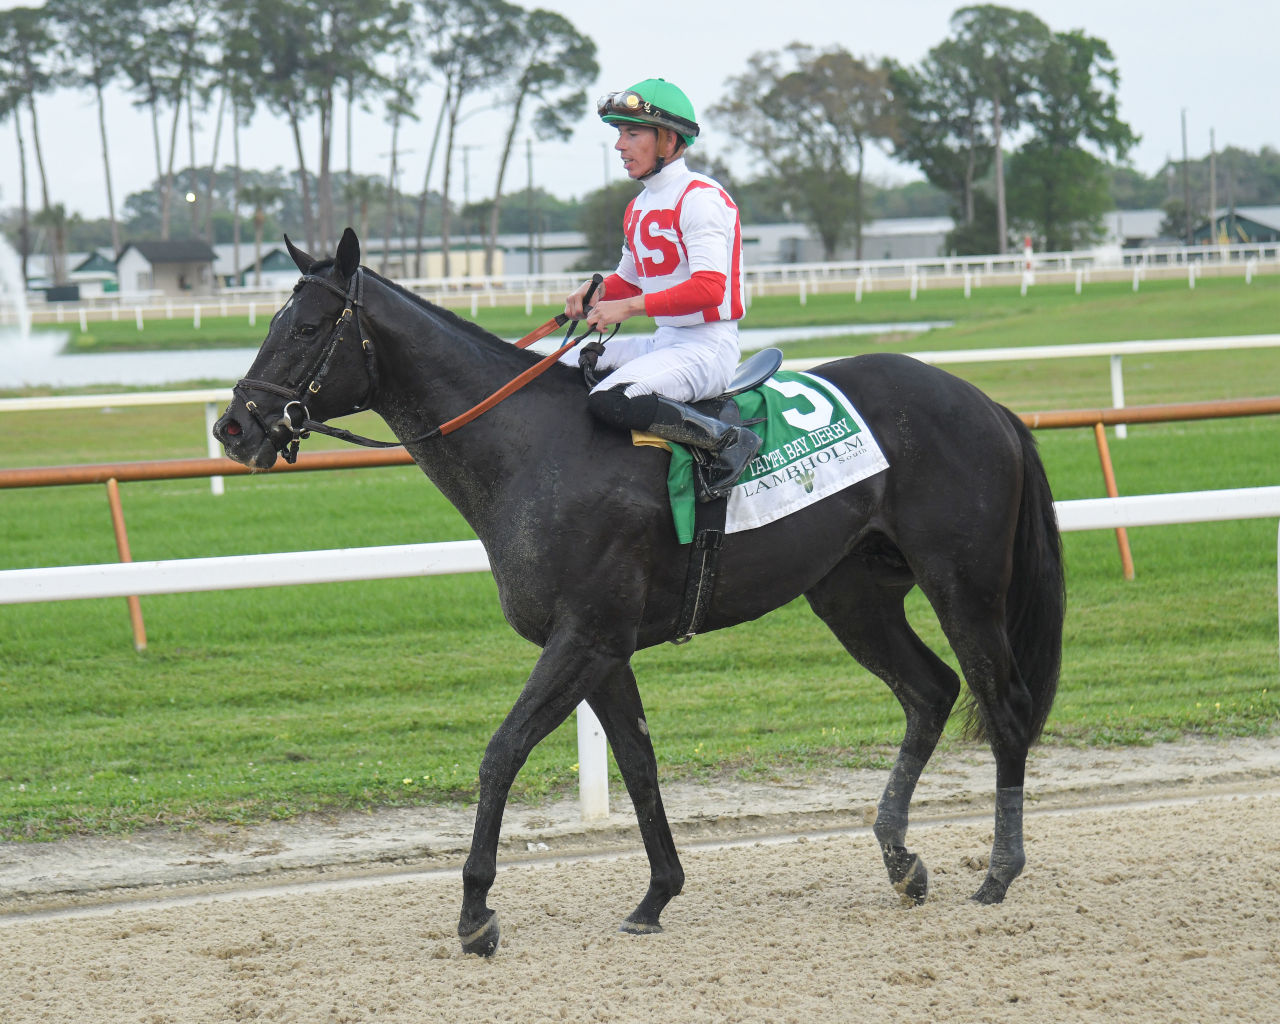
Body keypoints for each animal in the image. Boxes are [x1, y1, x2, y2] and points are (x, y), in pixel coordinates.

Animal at [215, 227, 1064, 957]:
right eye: (276, 319)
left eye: (306, 326)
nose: (233, 427)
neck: (534, 449)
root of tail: (983, 401)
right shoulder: (604, 649)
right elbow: (639, 764)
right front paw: (657, 896)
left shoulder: (585, 637)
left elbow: (502, 752)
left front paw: (476, 911)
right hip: (852, 595)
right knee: (930, 691)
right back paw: (900, 859)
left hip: (963, 583)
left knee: (1003, 704)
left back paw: (998, 873)